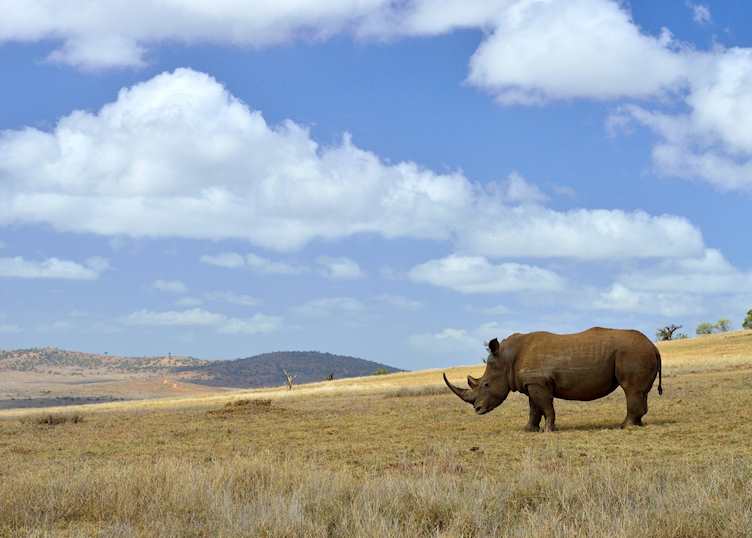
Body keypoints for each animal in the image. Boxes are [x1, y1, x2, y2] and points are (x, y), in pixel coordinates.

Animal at [443, 327, 663, 431]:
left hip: (633, 352)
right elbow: (534, 408)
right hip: (638, 352)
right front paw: (529, 430)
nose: (477, 409)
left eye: (486, 384)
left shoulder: (539, 382)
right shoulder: (532, 384)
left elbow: (546, 407)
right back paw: (637, 424)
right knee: (639, 392)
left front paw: (549, 430)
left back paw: (625, 426)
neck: (506, 359)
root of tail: (653, 346)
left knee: (630, 389)